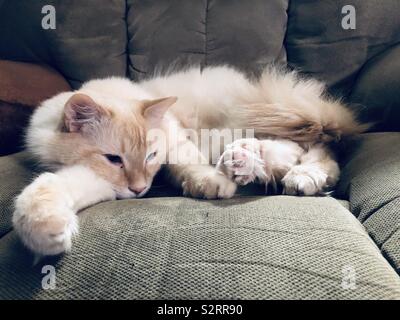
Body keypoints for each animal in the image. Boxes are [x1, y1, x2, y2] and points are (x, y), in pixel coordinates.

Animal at [12, 65, 366, 255]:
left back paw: (295, 175)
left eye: (151, 156)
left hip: (245, 122)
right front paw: (48, 231)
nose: (140, 190)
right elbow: (50, 187)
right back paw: (246, 161)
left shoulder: (175, 139)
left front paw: (213, 184)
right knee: (293, 154)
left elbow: (187, 164)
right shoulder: (97, 178)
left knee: (315, 150)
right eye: (114, 159)